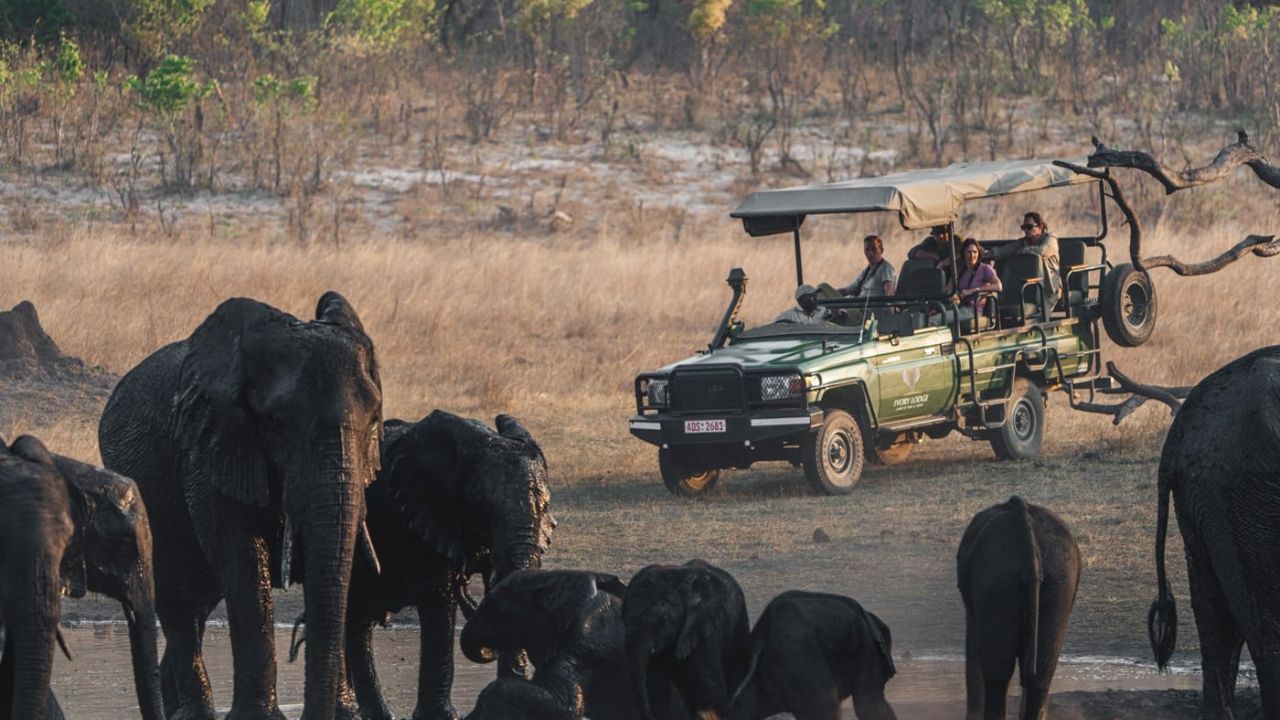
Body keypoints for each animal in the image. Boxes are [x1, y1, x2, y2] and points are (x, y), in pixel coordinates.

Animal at [98, 291, 384, 720]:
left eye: (374, 423)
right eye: (278, 423)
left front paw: (346, 714)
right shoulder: (211, 448)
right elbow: (243, 561)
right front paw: (258, 717)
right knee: (180, 606)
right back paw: (194, 714)